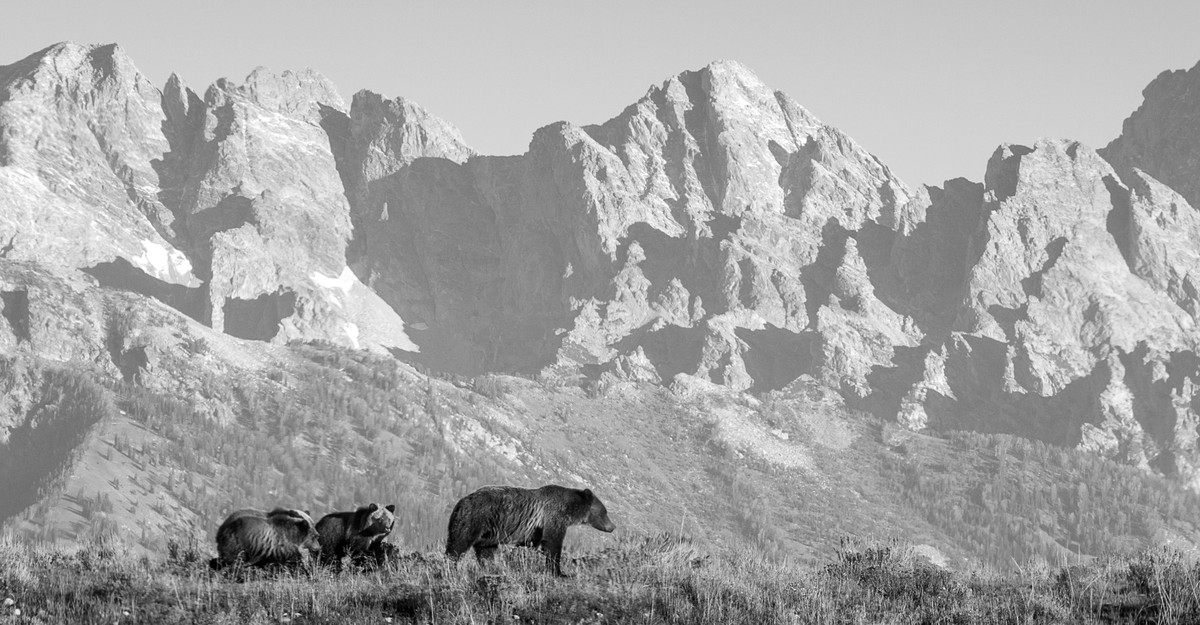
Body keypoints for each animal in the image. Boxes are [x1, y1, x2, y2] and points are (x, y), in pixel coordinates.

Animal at [451, 482, 619, 575]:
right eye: (605, 512)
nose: (613, 527)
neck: (570, 509)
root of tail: (461, 501)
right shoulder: (554, 516)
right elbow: (553, 543)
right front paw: (559, 572)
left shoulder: (539, 526)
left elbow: (534, 543)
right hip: (475, 519)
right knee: (459, 544)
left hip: (490, 532)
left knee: (486, 551)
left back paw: (492, 568)